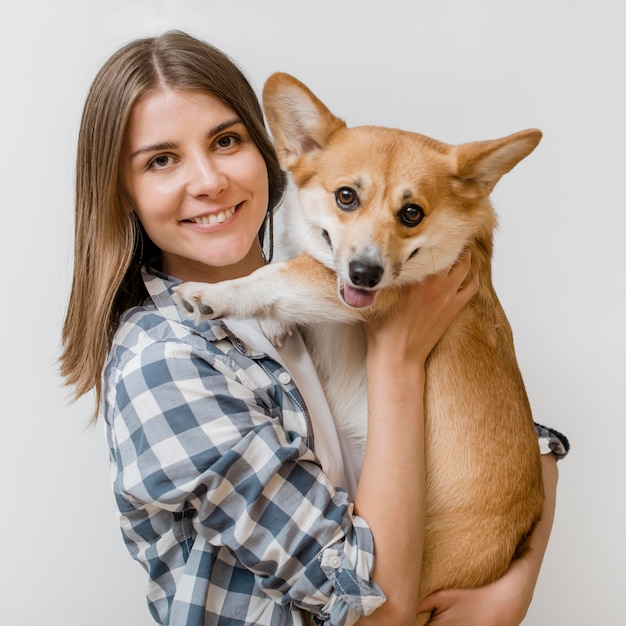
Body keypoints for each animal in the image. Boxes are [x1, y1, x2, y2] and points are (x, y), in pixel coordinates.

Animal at [173, 72, 544, 620]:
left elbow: (273, 274)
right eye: (346, 196)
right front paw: (274, 325)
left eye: (412, 213)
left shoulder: (357, 295)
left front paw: (211, 294)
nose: (365, 273)